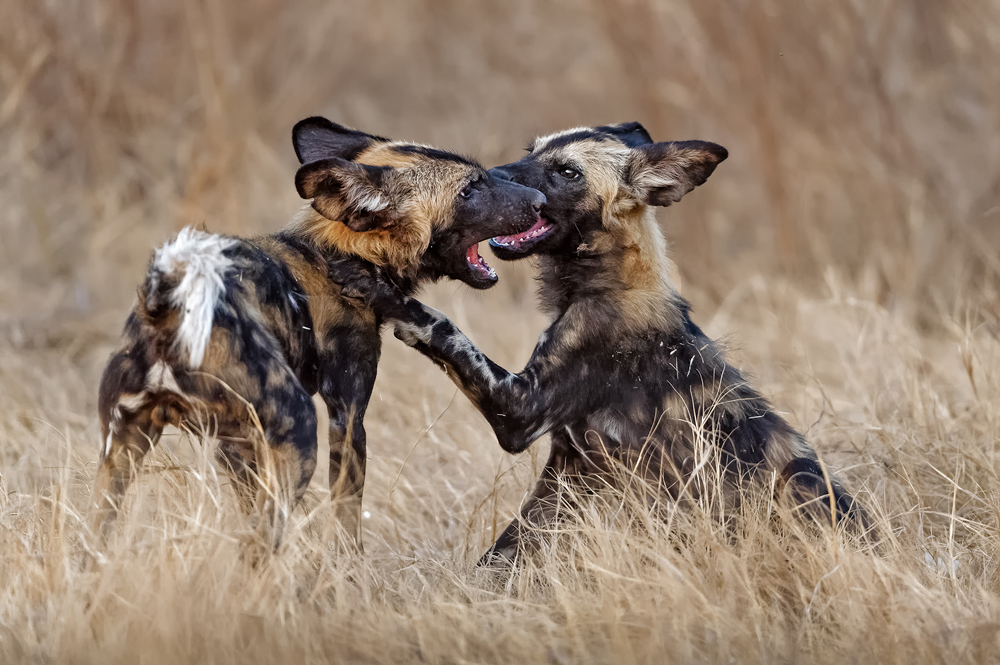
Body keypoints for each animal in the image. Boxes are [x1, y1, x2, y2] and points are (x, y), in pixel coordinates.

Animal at [92, 116, 548, 548]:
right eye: (470, 189)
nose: (542, 201)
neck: (341, 252)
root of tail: (168, 301)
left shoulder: (237, 448)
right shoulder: (346, 417)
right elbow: (346, 522)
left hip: (124, 452)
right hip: (295, 433)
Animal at [340, 122, 872, 564]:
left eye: (566, 172)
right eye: (530, 152)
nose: (493, 177)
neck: (605, 284)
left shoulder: (518, 409)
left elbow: (440, 325)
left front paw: (373, 285)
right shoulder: (569, 469)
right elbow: (503, 555)